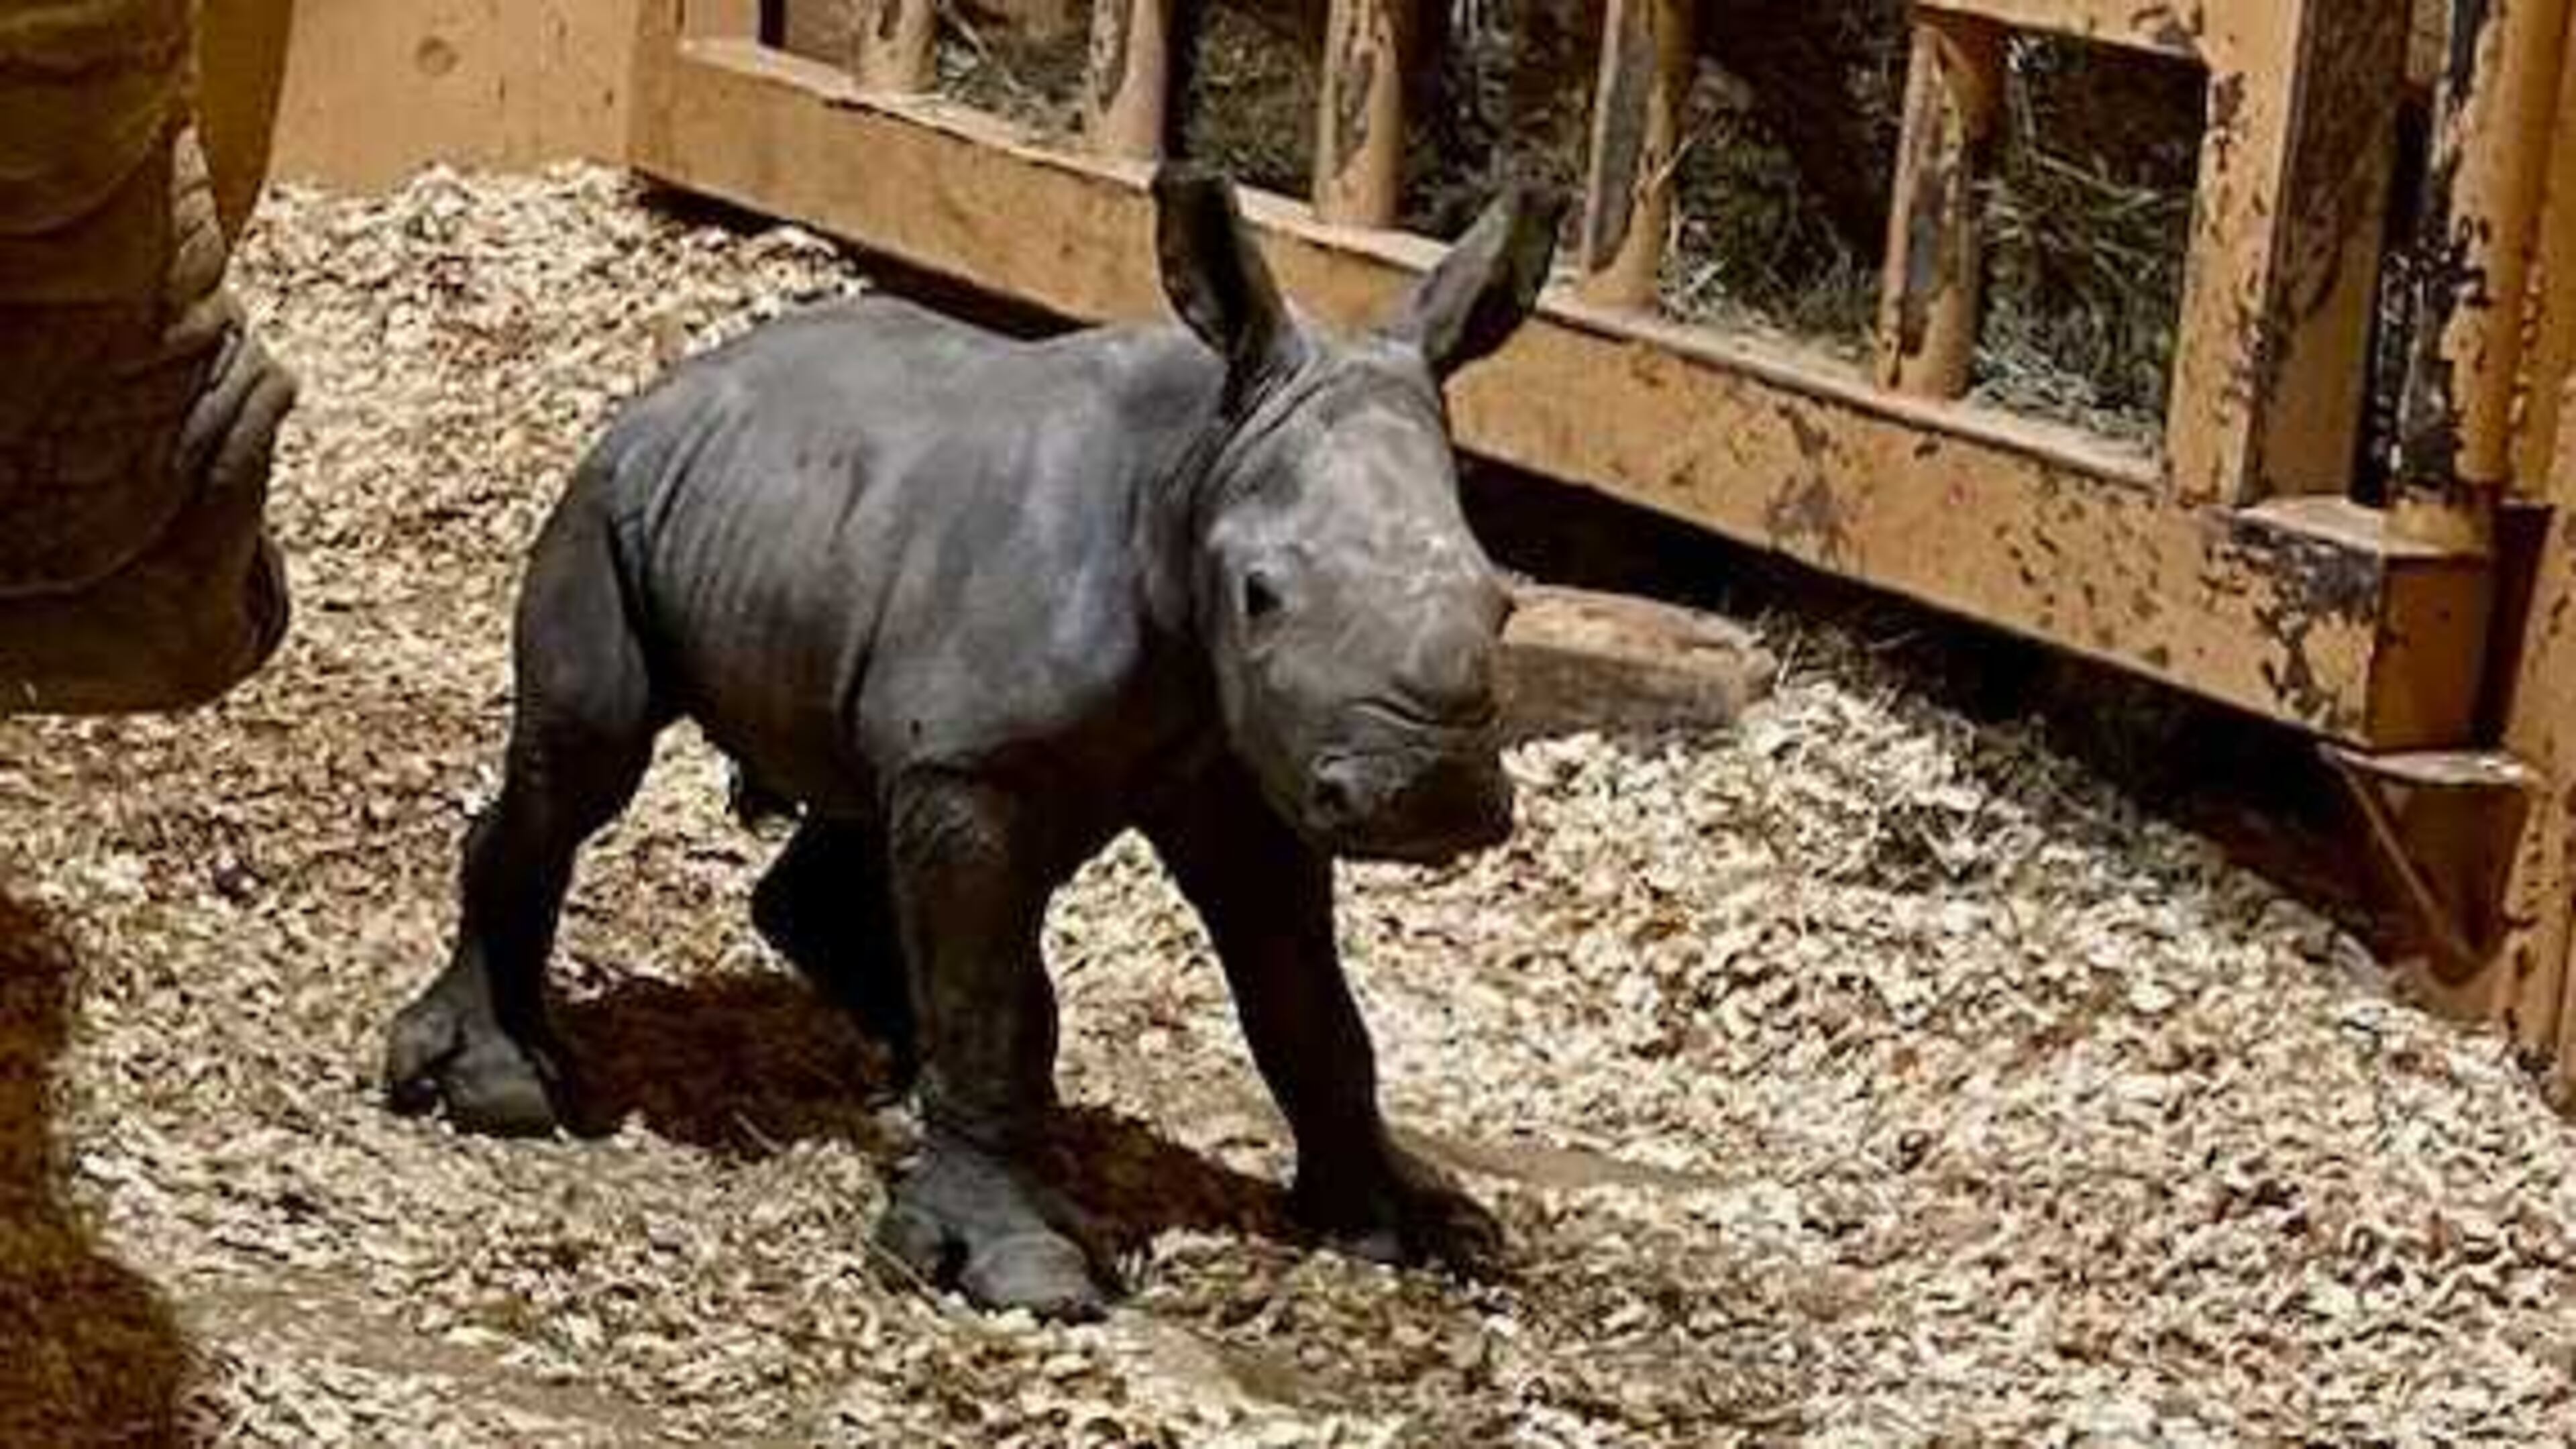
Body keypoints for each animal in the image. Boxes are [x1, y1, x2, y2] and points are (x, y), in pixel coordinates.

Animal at [384, 166, 1565, 1319]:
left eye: (1505, 605)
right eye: (1260, 596)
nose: (1427, 794)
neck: (1201, 461)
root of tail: (678, 382)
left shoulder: (1237, 764)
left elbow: (1308, 1002)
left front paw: (1417, 1227)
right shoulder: (978, 767)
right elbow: (993, 1002)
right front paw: (1021, 1267)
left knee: (852, 812)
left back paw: (903, 1103)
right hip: (606, 508)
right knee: (587, 759)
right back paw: (497, 1089)